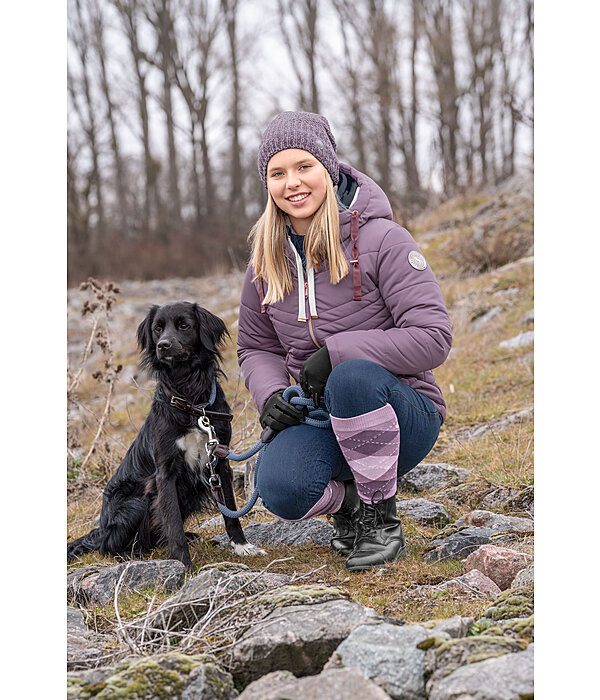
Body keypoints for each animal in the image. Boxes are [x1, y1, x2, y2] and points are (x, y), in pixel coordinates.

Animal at [67, 300, 262, 568]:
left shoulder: (220, 460)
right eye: (157, 329)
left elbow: (230, 510)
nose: (163, 345)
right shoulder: (165, 472)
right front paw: (184, 566)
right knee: (108, 545)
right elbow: (172, 522)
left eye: (184, 325)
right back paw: (130, 555)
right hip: (135, 502)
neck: (190, 400)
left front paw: (241, 546)